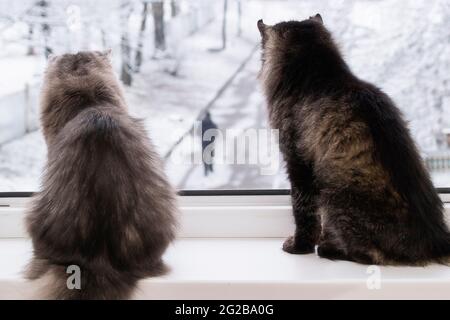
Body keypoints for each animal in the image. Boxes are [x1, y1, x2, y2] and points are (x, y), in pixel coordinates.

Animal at [256, 15, 450, 264]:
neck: (317, 77)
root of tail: (437, 241)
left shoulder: (297, 163)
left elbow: (304, 212)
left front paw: (300, 246)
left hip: (333, 194)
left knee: (371, 255)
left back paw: (330, 249)